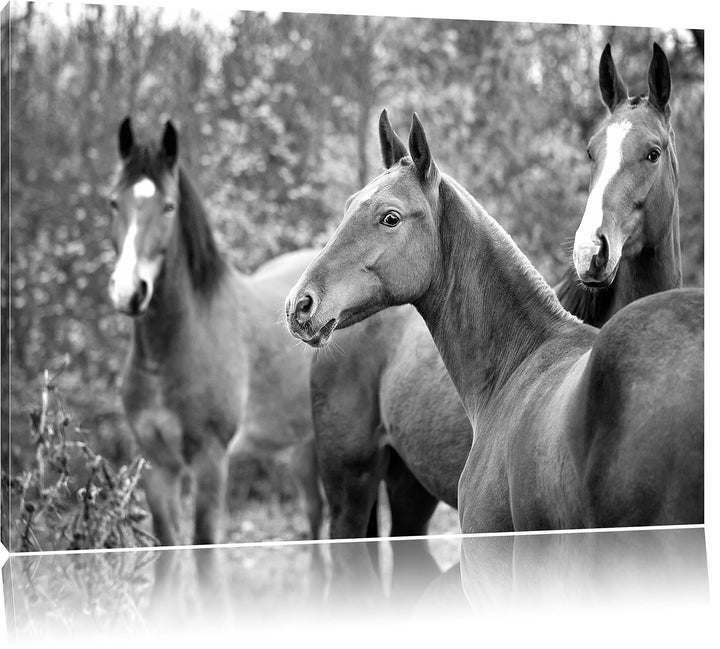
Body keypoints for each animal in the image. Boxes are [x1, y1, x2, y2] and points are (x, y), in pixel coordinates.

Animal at [108, 117, 324, 546]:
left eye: (169, 207)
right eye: (114, 203)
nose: (128, 291)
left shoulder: (210, 461)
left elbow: (204, 546)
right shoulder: (159, 466)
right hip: (302, 445)